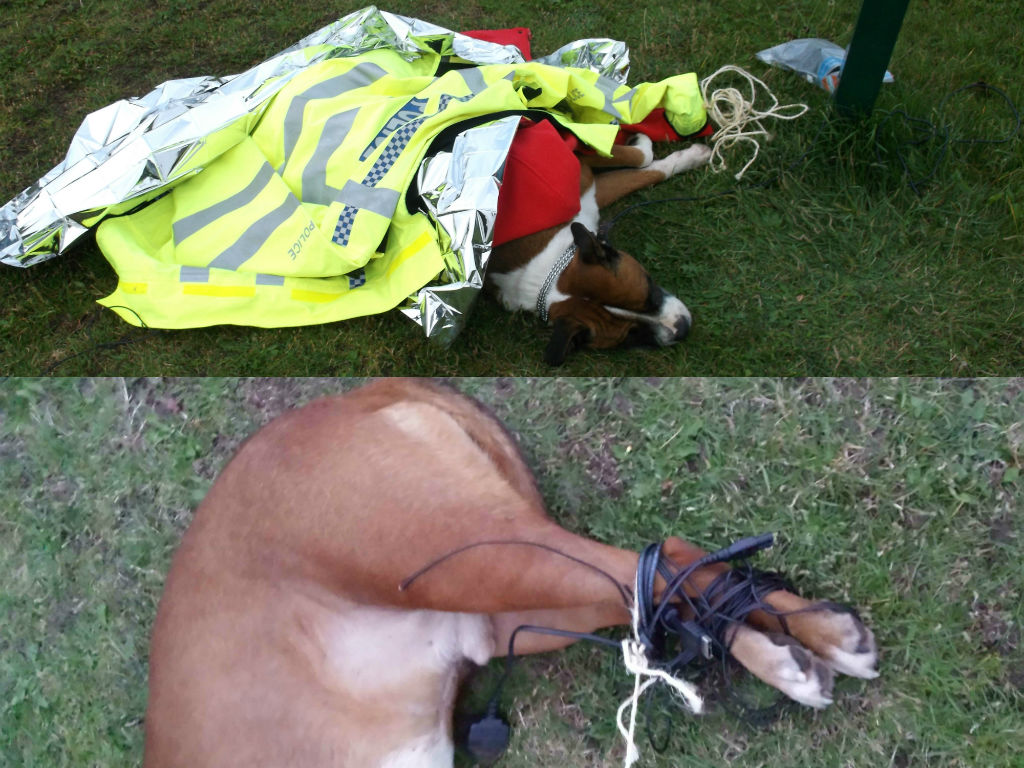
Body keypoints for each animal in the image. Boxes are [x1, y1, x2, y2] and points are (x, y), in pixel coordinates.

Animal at [144, 382, 880, 765]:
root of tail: (354, 395)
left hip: (452, 550)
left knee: (648, 569)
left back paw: (812, 640)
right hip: (497, 608)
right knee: (656, 577)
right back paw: (791, 645)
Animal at [483, 135, 708, 366]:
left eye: (649, 293)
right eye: (631, 335)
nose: (682, 328)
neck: (549, 273)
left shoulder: (581, 169)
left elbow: (641, 159)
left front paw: (690, 155)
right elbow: (643, 168)